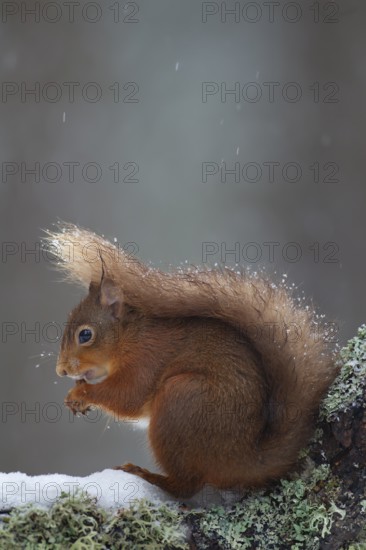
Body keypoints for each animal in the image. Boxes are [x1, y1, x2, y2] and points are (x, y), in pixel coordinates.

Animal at [44, 223, 338, 500]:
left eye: (85, 335)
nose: (61, 370)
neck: (129, 338)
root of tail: (243, 458)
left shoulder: (146, 360)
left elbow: (128, 397)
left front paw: (80, 393)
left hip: (180, 402)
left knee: (186, 486)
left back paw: (147, 475)